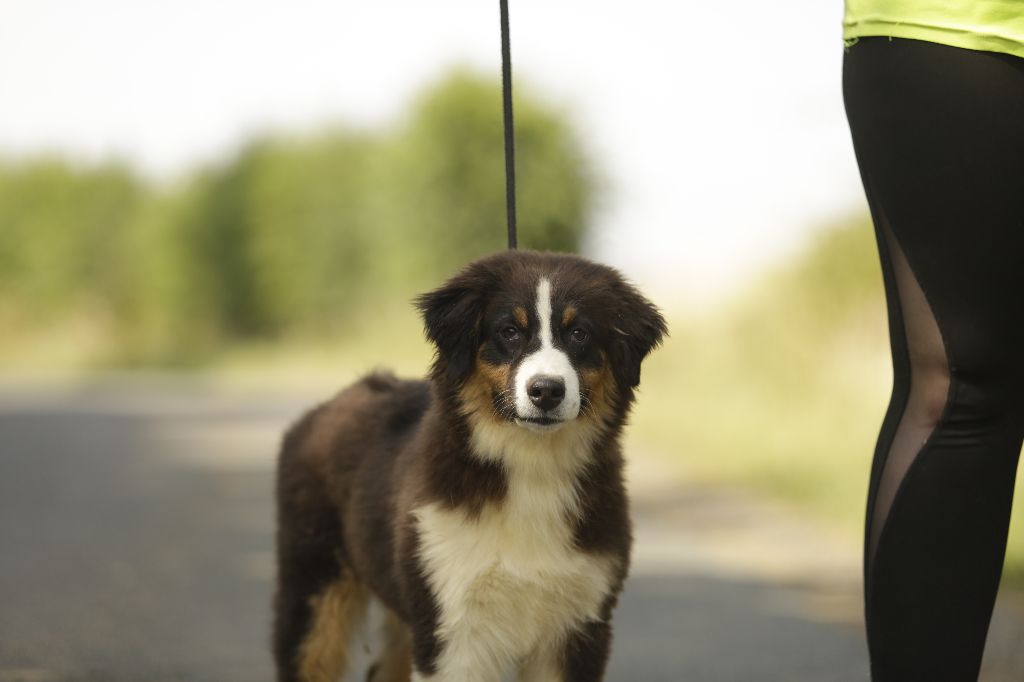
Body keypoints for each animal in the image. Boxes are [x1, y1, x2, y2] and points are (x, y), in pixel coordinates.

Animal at [276, 249, 667, 679]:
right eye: (509, 331)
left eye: (579, 333)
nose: (546, 391)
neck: (531, 469)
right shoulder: (452, 622)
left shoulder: (578, 626)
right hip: (315, 589)